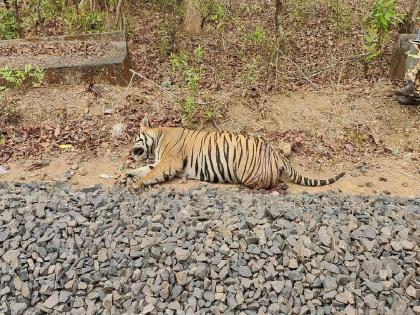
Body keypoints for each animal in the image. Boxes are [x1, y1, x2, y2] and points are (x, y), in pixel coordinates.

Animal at [124, 118, 344, 190]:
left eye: (135, 138)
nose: (130, 151)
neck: (158, 137)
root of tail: (275, 153)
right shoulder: (158, 162)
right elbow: (143, 169)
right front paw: (126, 176)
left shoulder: (169, 162)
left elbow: (150, 174)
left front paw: (136, 185)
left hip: (246, 172)